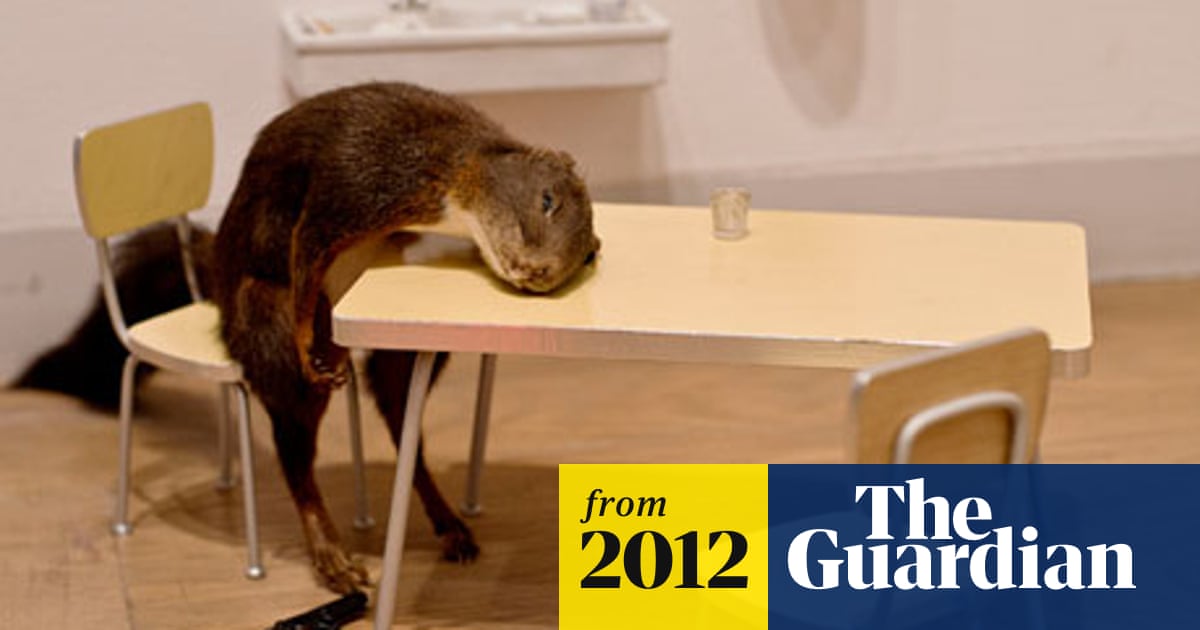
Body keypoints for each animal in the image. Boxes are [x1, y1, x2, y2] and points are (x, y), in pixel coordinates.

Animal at [212, 82, 600, 593]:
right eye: (547, 199)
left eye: (586, 255)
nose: (539, 272)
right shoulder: (358, 177)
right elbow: (306, 248)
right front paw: (306, 347)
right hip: (260, 316)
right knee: (295, 448)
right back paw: (333, 557)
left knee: (399, 421)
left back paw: (451, 527)